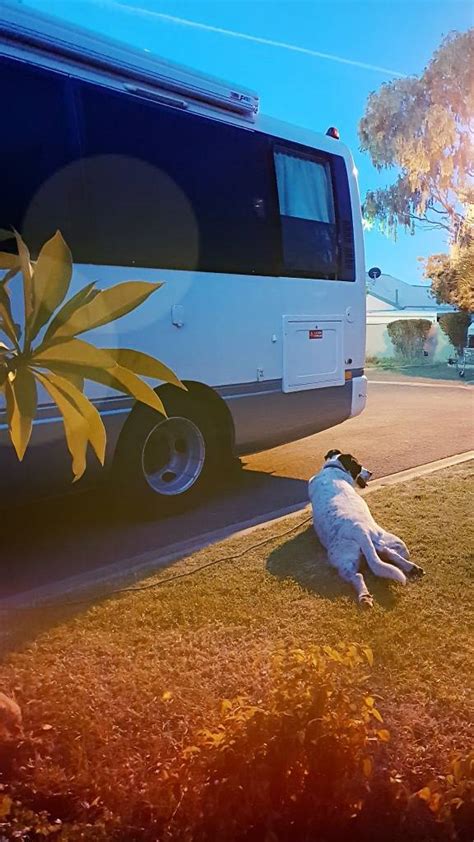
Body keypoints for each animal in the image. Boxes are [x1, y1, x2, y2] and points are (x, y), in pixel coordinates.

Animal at [308, 450, 426, 608]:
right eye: (359, 466)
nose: (370, 472)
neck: (333, 467)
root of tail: (360, 530)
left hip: (343, 561)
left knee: (357, 575)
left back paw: (364, 597)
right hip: (378, 540)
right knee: (389, 554)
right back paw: (411, 568)